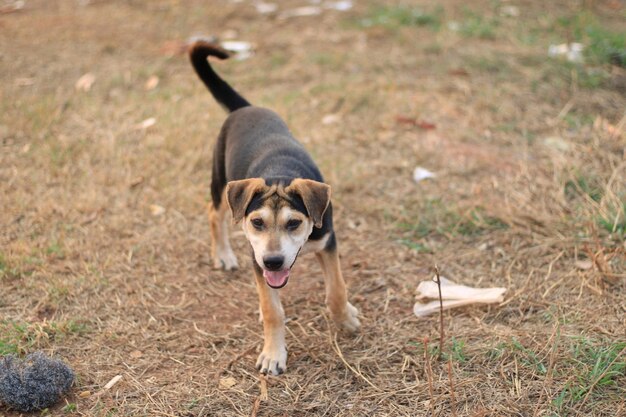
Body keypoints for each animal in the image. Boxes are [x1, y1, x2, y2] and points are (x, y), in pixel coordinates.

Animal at [188, 41, 358, 374]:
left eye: (294, 223)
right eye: (257, 222)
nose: (274, 261)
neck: (280, 172)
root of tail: (244, 108)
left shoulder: (328, 240)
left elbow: (336, 290)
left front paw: (345, 319)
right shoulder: (257, 257)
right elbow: (272, 310)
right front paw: (273, 354)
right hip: (220, 181)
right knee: (214, 213)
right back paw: (224, 255)